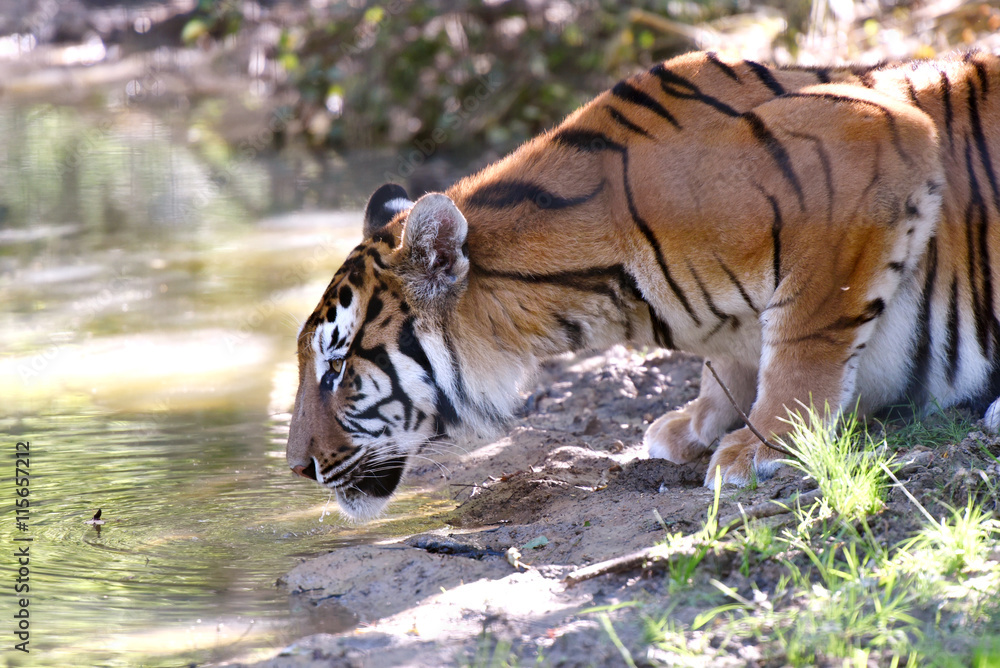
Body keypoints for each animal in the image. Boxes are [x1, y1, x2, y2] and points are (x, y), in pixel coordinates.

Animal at [286, 49, 1000, 520]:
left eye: (337, 366)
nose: (297, 467)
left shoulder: (866, 143)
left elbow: (806, 336)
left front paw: (760, 445)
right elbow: (729, 360)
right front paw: (697, 423)